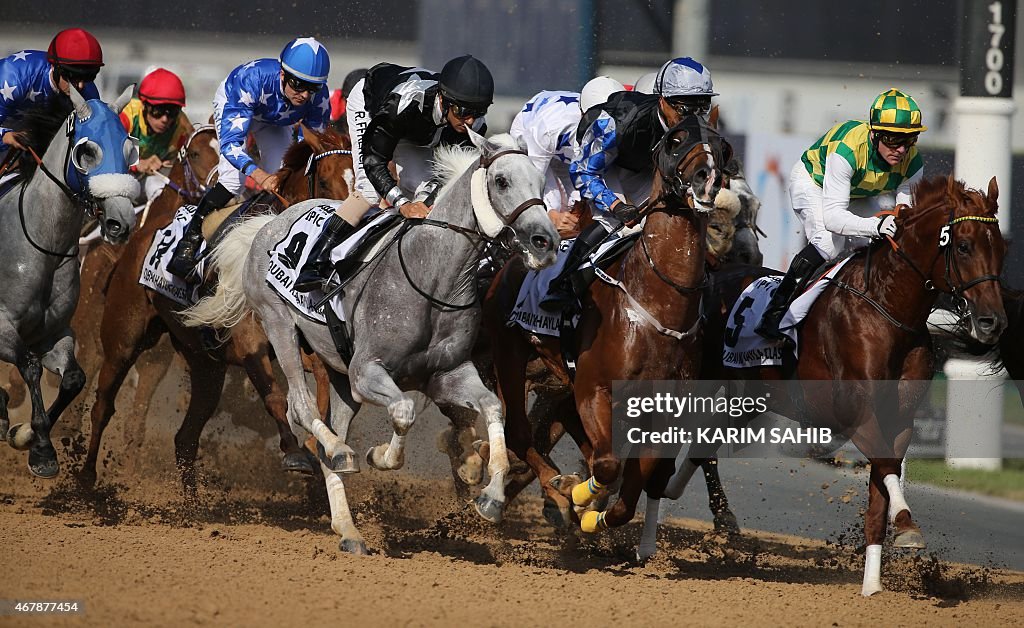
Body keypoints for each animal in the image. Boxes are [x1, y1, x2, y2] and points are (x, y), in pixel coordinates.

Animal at [0, 83, 140, 475]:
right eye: (87, 151)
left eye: (130, 150)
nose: (120, 222)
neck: (42, 246)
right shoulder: (2, 327)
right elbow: (30, 368)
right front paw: (42, 450)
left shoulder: (52, 334)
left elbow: (75, 378)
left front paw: (25, 436)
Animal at [78, 124, 356, 497]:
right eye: (324, 182)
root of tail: (139, 236)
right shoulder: (250, 342)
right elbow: (275, 397)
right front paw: (297, 453)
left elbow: (322, 388)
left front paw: (318, 445)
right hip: (123, 338)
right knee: (103, 405)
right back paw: (85, 477)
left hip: (205, 365)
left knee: (185, 438)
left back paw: (192, 503)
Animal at [180, 129, 557, 549]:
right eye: (501, 181)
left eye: (542, 181)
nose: (544, 241)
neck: (433, 276)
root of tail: (268, 223)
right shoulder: (366, 372)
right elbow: (403, 411)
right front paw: (380, 456)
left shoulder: (446, 375)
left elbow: (491, 407)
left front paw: (489, 495)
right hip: (279, 326)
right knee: (301, 408)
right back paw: (340, 451)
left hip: (339, 376)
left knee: (328, 432)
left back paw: (348, 528)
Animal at [479, 115, 729, 540]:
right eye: (676, 139)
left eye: (721, 146)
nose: (706, 178)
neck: (659, 302)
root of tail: (514, 257)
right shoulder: (594, 387)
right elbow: (609, 466)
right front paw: (578, 494)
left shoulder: (660, 410)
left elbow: (630, 488)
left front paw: (592, 512)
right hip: (509, 354)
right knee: (519, 429)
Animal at [700, 174, 1003, 594]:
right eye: (963, 245)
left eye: (1001, 247)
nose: (993, 321)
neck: (887, 309)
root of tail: (713, 273)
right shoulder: (856, 415)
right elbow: (886, 467)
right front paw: (907, 525)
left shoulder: (899, 419)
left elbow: (881, 486)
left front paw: (873, 584)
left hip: (745, 402)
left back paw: (721, 519)